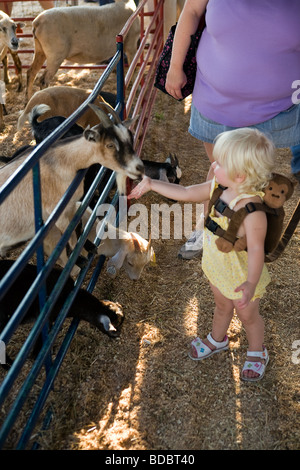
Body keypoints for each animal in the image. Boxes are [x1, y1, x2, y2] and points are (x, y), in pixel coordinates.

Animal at [0, 102, 144, 264]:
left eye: (130, 138)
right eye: (110, 145)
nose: (139, 167)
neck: (62, 162)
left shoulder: (72, 204)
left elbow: (77, 225)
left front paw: (89, 247)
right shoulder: (57, 213)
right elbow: (67, 235)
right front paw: (78, 258)